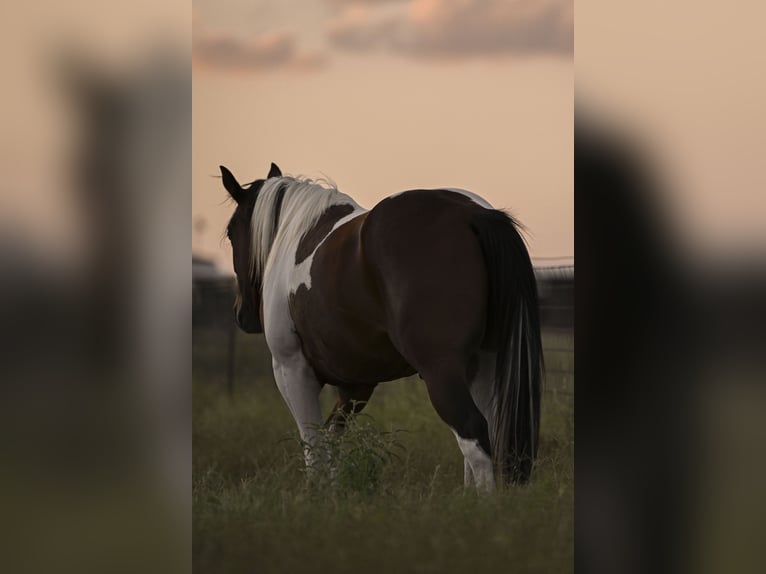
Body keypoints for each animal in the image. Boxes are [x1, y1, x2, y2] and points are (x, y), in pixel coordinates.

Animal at [221, 162, 543, 491]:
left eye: (231, 233)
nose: (241, 315)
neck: (297, 235)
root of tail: (472, 214)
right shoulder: (356, 384)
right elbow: (332, 441)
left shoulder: (292, 369)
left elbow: (313, 446)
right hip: (483, 365)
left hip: (442, 371)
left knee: (473, 435)